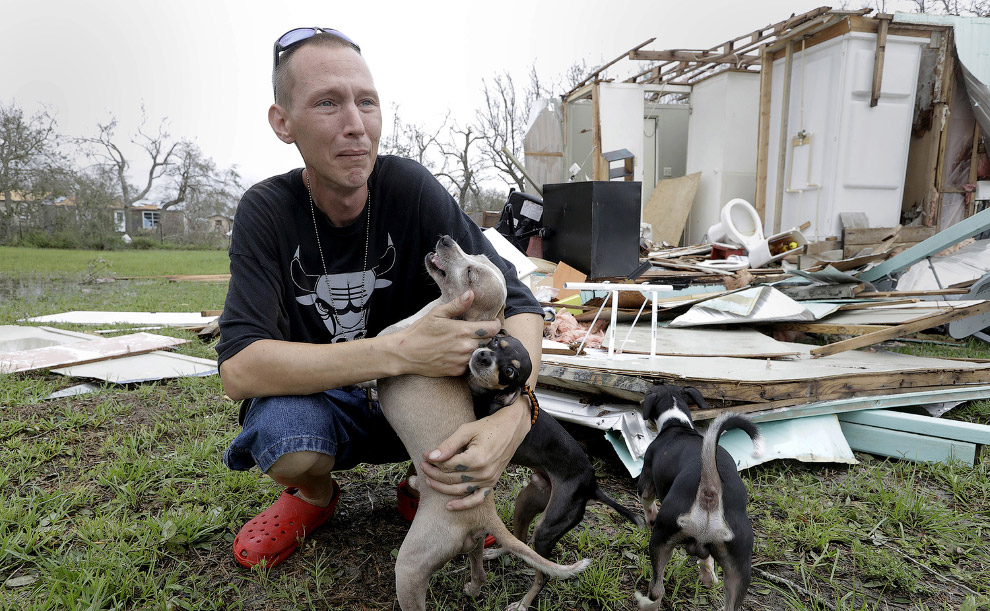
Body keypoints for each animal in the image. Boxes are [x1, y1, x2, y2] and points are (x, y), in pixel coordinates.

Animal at [376, 238, 584, 611]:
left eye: (471, 272)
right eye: (478, 255)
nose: (446, 240)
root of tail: (484, 512)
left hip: (411, 567)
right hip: (472, 542)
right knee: (478, 564)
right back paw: (474, 585)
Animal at [470, 332, 648, 608]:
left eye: (509, 372)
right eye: (497, 343)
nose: (483, 357)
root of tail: (592, 486)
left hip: (546, 528)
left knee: (543, 574)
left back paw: (523, 604)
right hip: (525, 503)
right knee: (519, 542)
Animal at [636, 388, 768, 611]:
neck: (677, 422)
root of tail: (710, 489)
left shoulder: (646, 478)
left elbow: (647, 501)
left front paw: (650, 516)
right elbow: (707, 559)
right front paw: (708, 576)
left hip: (660, 539)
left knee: (657, 589)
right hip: (740, 565)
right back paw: (709, 579)